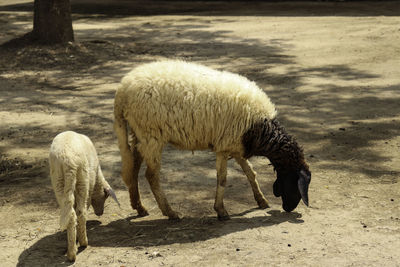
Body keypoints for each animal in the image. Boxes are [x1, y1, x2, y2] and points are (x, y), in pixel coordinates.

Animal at [48, 131, 119, 262]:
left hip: (58, 180)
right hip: (82, 178)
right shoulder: (90, 186)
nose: (100, 213)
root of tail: (68, 160)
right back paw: (83, 242)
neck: (97, 177)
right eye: (105, 196)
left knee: (70, 212)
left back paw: (71, 252)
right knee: (80, 212)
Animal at [114, 60, 310, 222]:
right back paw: (170, 212)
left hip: (140, 135)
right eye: (296, 182)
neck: (260, 127)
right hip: (151, 136)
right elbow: (222, 179)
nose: (289, 208)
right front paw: (221, 211)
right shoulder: (224, 146)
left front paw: (261, 200)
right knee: (151, 176)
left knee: (134, 168)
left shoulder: (236, 146)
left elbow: (250, 172)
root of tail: (122, 90)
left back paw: (139, 207)